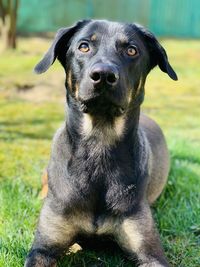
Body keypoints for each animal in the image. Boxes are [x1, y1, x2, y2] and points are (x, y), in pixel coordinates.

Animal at [24, 19, 177, 266]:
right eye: (83, 46)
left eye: (131, 50)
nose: (104, 75)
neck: (99, 142)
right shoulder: (43, 247)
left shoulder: (149, 251)